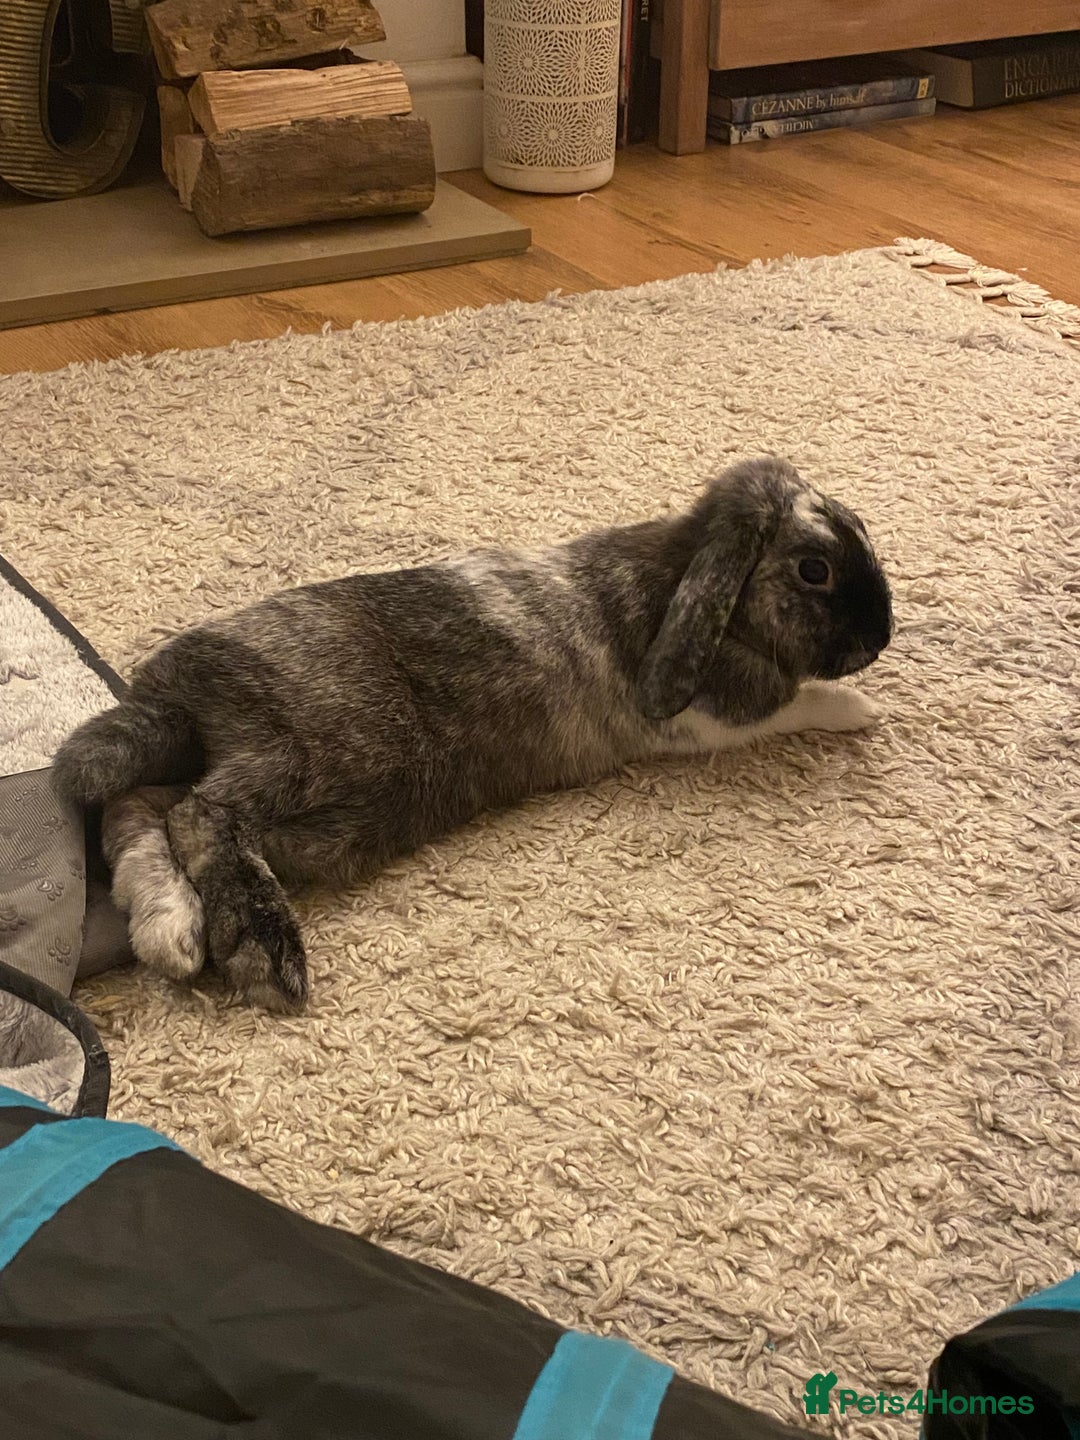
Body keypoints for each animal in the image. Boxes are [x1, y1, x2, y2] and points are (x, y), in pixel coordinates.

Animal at [52, 456, 893, 1012]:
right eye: (815, 570)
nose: (881, 635)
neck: (681, 570)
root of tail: (177, 700)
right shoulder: (706, 715)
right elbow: (794, 703)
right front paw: (859, 709)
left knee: (138, 806)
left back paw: (171, 930)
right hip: (320, 763)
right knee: (197, 815)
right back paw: (264, 952)